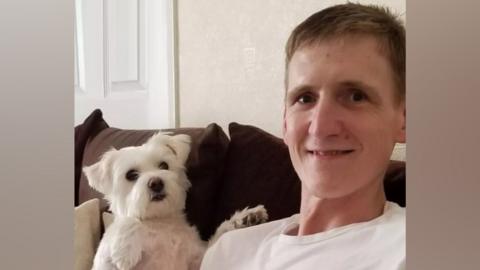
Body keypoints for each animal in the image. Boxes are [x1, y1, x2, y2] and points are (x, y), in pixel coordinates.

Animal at [84, 133, 268, 270]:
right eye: (131, 175)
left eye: (164, 165)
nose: (156, 183)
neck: (160, 222)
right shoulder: (104, 263)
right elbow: (128, 220)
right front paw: (125, 251)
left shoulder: (196, 260)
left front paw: (245, 218)